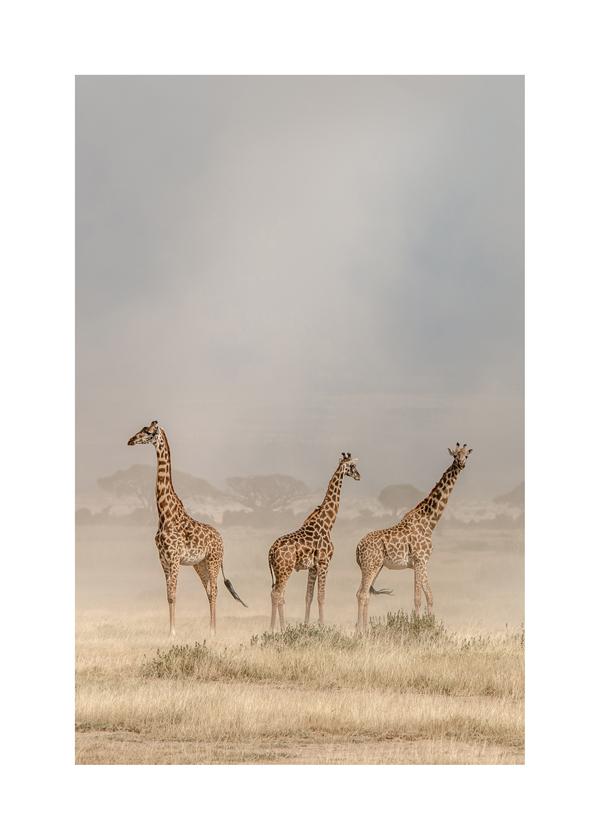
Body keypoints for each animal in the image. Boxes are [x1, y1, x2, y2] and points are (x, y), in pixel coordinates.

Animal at [127, 420, 247, 636]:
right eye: (141, 430)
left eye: (148, 432)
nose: (130, 440)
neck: (164, 514)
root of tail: (221, 539)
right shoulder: (163, 559)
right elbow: (169, 595)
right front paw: (170, 632)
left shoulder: (174, 557)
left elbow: (173, 594)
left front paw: (172, 634)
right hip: (199, 564)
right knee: (209, 591)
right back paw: (210, 630)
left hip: (213, 560)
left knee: (214, 590)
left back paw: (213, 632)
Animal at [268, 452, 360, 632]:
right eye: (352, 466)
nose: (359, 476)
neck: (327, 523)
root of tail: (271, 551)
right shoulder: (324, 562)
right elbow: (321, 596)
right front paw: (322, 626)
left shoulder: (312, 567)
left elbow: (308, 596)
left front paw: (305, 626)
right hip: (285, 569)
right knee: (277, 594)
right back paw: (274, 629)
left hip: (279, 570)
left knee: (279, 595)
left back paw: (280, 627)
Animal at [354, 442, 472, 632]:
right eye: (455, 455)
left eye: (466, 456)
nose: (461, 464)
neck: (429, 522)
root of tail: (357, 548)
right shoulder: (420, 560)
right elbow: (418, 598)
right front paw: (418, 627)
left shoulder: (421, 563)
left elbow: (429, 596)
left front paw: (431, 626)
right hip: (370, 566)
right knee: (362, 594)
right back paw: (361, 632)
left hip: (374, 567)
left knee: (363, 594)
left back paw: (365, 629)